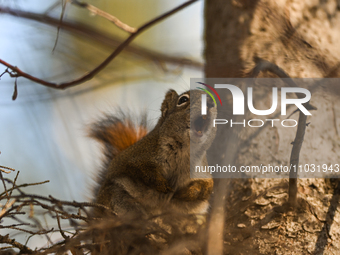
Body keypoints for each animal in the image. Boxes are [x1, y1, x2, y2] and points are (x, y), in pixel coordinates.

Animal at [89, 88, 218, 218]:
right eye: (183, 100)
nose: (210, 102)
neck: (186, 150)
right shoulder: (137, 156)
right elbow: (142, 170)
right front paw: (162, 184)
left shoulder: (201, 170)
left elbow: (208, 185)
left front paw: (189, 193)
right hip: (116, 197)